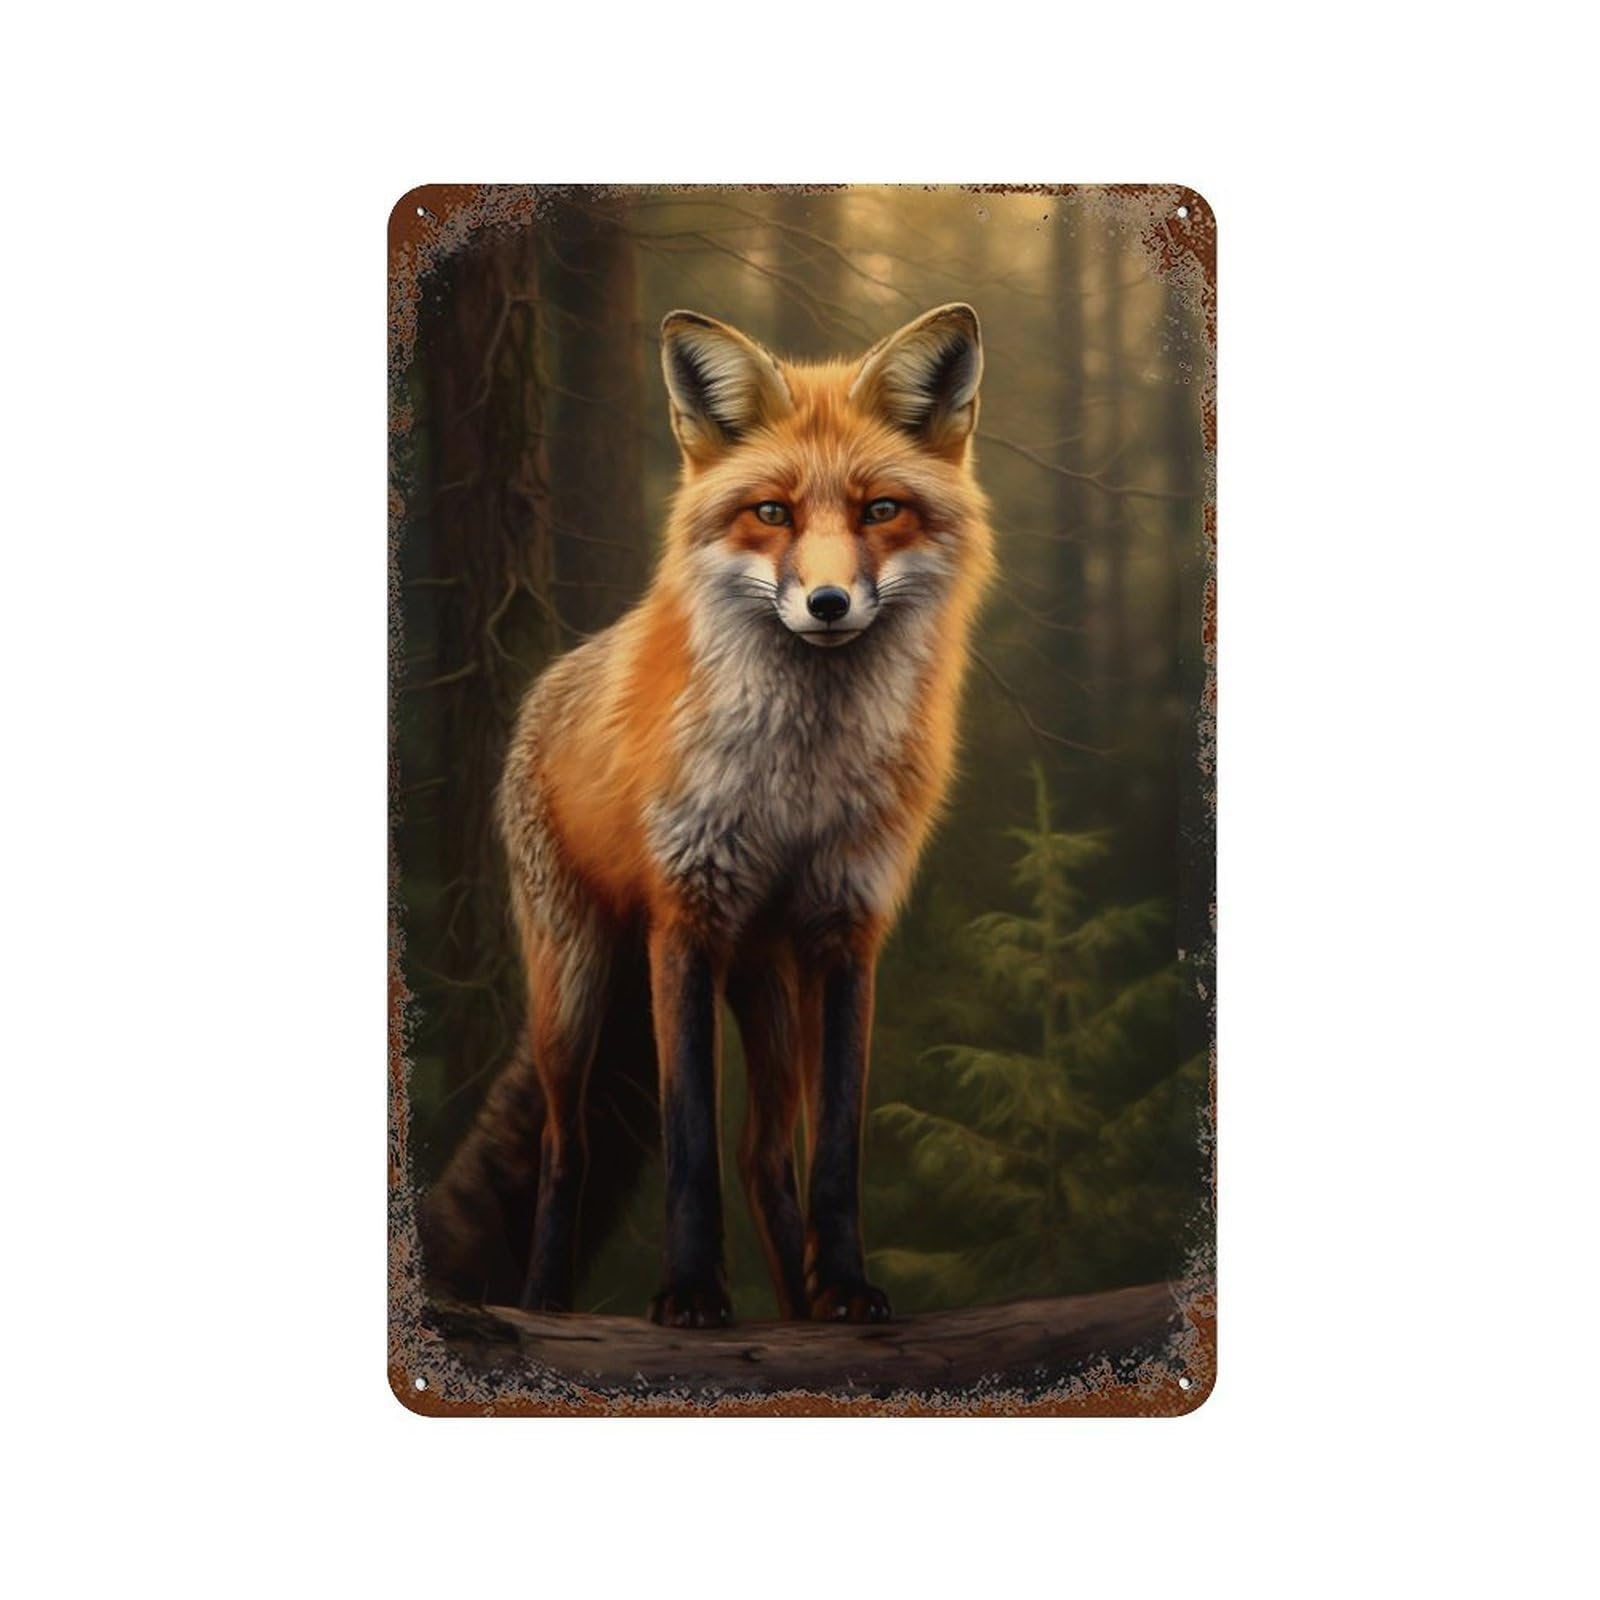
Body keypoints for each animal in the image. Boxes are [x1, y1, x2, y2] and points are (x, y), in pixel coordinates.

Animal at [420, 302, 995, 1326]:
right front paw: (689, 1293)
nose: (828, 602)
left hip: (763, 980)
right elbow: (688, 1144)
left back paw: (800, 1307)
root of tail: (552, 678)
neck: (797, 783)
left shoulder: (846, 928)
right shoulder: (685, 920)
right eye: (771, 513)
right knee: (566, 1150)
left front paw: (844, 1288)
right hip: (575, 985)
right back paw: (546, 1302)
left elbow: (833, 1148)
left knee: (763, 1154)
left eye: (879, 511)